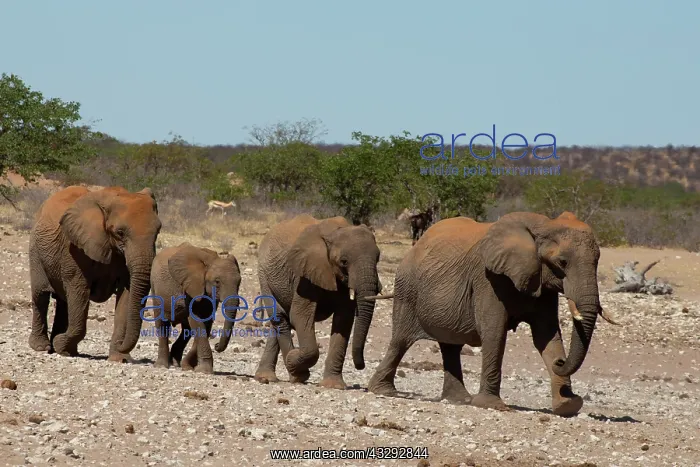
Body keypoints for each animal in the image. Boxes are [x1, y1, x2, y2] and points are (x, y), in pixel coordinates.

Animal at [28, 185, 162, 361]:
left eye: (158, 231)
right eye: (120, 232)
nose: (123, 347)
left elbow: (127, 294)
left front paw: (120, 359)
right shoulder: (73, 248)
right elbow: (79, 290)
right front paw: (61, 346)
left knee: (63, 301)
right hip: (35, 251)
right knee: (41, 296)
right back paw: (42, 347)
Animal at [148, 242, 241, 373]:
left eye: (239, 282)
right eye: (217, 282)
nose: (216, 345)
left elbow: (205, 323)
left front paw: (190, 367)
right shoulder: (190, 289)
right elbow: (196, 321)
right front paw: (204, 371)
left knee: (187, 329)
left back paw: (176, 363)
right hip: (155, 288)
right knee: (162, 324)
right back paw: (162, 365)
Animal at [216, 214, 381, 389]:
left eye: (378, 258)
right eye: (344, 261)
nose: (360, 365)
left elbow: (343, 320)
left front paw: (333, 385)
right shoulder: (305, 274)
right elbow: (300, 317)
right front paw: (297, 364)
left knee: (279, 321)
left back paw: (269, 376)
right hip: (264, 274)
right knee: (280, 318)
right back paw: (294, 373)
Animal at [367, 211, 620, 416]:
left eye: (597, 260)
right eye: (562, 262)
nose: (561, 362)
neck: (543, 225)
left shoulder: (541, 283)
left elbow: (546, 336)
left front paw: (568, 406)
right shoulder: (488, 279)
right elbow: (494, 331)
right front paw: (492, 405)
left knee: (450, 347)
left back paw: (460, 400)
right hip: (407, 290)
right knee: (400, 341)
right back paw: (383, 391)